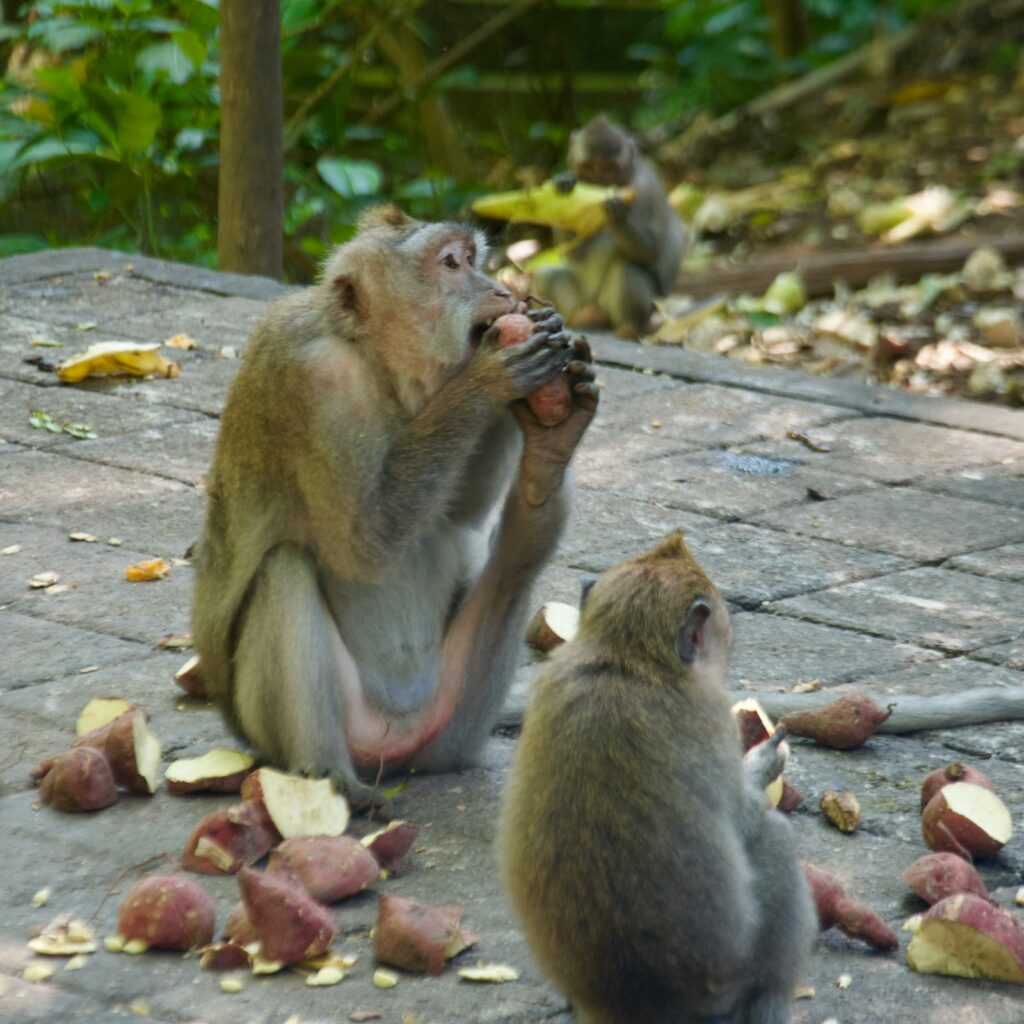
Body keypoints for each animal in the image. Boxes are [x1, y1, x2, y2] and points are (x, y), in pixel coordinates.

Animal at [191, 204, 599, 805]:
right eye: (451, 264)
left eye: (473, 259)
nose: (501, 290)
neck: (375, 362)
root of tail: (394, 752)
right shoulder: (313, 378)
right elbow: (363, 545)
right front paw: (491, 378)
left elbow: (462, 515)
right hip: (308, 728)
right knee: (283, 570)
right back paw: (327, 774)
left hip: (452, 727)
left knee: (519, 562)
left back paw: (547, 461)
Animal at [498, 532, 816, 1024]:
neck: (626, 655)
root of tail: (631, 1006)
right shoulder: (709, 716)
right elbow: (745, 818)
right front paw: (763, 762)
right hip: (729, 983)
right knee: (775, 839)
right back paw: (770, 1003)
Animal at [533, 114, 686, 338]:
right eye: (589, 167)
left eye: (611, 169)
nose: (600, 182)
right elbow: (573, 252)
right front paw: (564, 182)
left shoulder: (645, 189)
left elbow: (652, 251)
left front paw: (617, 214)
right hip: (584, 298)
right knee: (545, 275)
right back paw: (579, 318)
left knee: (628, 269)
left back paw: (628, 328)